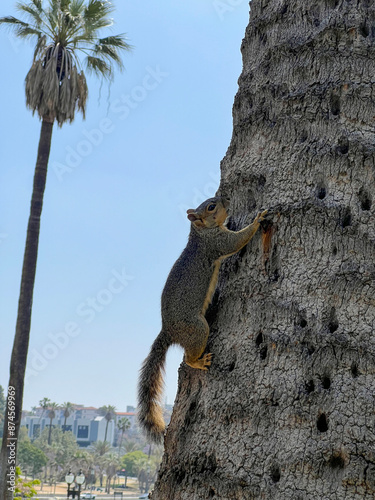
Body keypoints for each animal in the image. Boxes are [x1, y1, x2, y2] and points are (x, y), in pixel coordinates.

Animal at [138, 195, 268, 442]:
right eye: (211, 206)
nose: (226, 198)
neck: (200, 233)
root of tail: (168, 330)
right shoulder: (216, 243)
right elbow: (236, 242)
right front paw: (258, 219)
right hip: (197, 328)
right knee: (190, 357)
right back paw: (198, 361)